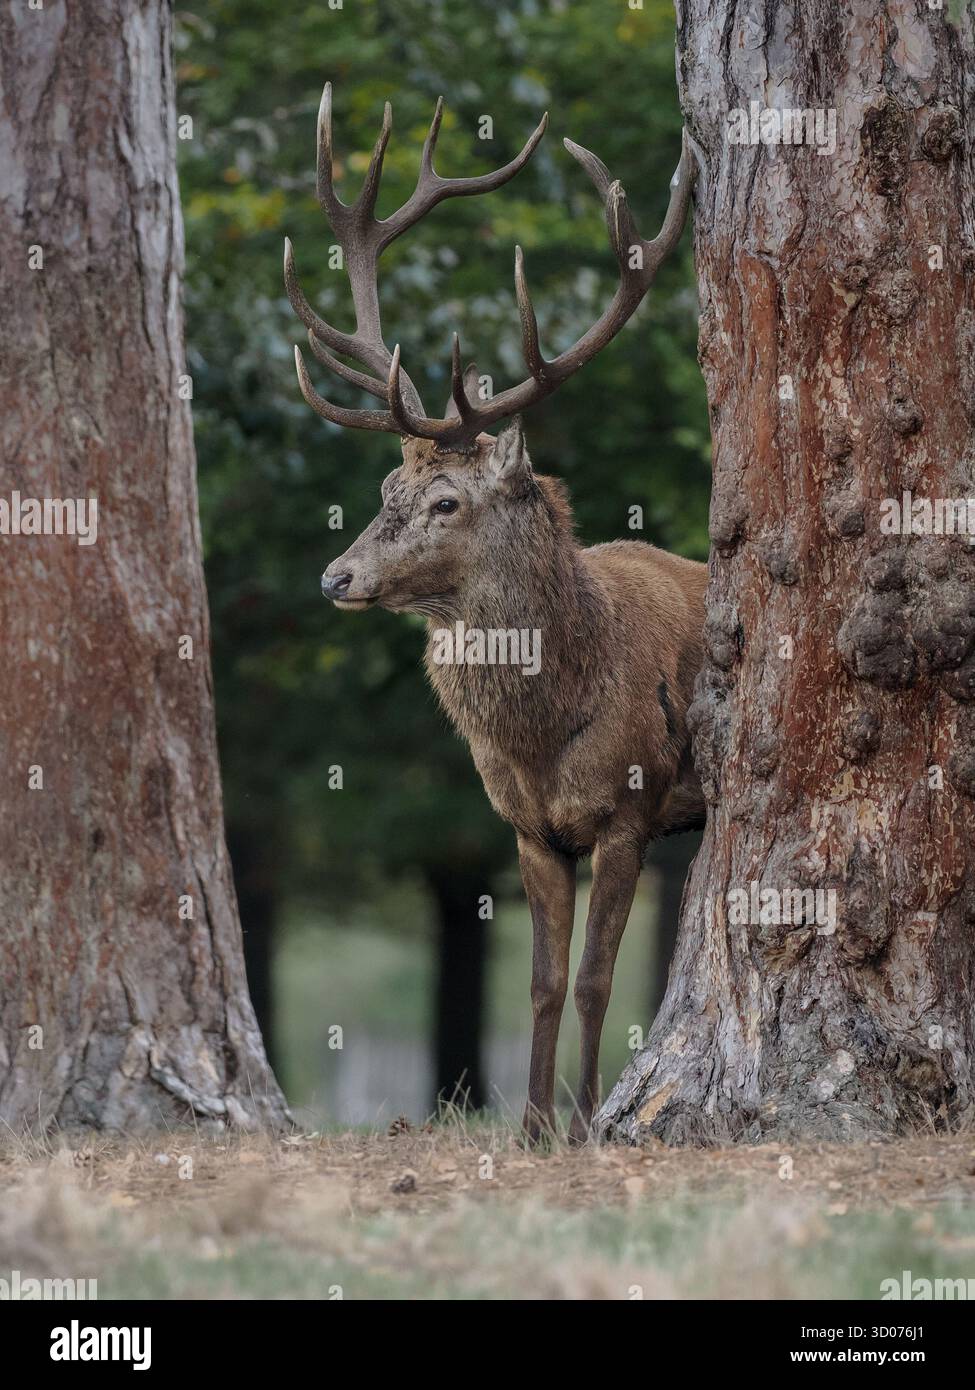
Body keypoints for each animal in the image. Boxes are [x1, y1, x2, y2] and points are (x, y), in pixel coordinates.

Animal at [285, 83, 706, 1144]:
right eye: (385, 485)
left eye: (445, 502)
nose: (335, 577)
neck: (545, 726)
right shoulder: (526, 829)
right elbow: (543, 983)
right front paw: (529, 1128)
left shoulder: (631, 809)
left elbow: (596, 982)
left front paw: (588, 1122)